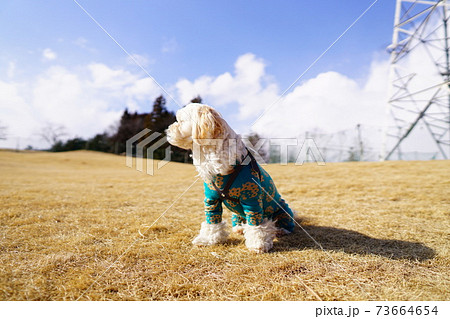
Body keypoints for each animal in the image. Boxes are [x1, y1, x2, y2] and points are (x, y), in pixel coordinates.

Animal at [165, 104, 296, 254]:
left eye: (180, 121)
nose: (167, 131)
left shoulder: (252, 200)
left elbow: (256, 226)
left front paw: (258, 244)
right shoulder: (211, 200)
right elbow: (212, 222)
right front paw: (207, 240)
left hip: (283, 211)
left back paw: (280, 230)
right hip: (236, 214)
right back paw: (239, 228)